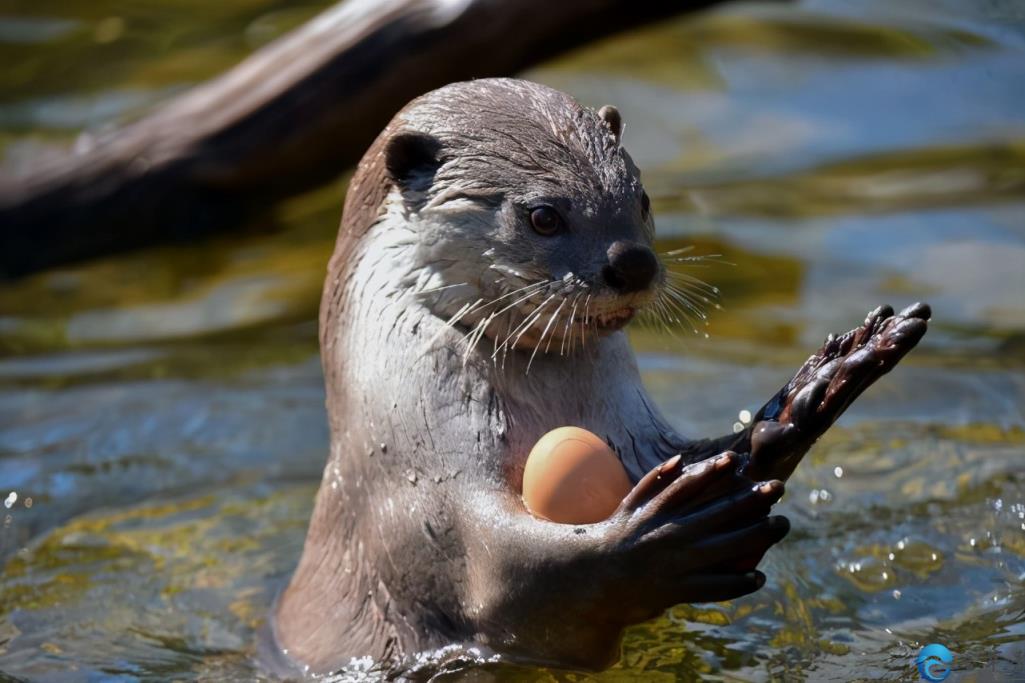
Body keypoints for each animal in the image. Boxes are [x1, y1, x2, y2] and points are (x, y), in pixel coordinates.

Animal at [270, 76, 930, 672]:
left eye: (642, 200)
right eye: (542, 216)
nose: (633, 262)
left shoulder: (638, 434)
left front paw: (815, 389)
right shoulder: (423, 499)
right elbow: (518, 580)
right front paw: (660, 538)